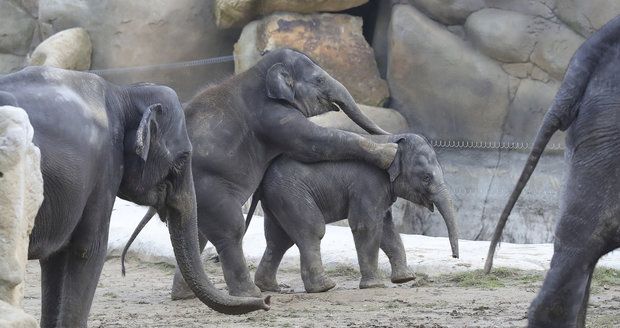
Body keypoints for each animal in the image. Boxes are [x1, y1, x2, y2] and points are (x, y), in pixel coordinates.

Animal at [0, 66, 268, 328]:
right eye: (183, 158)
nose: (266, 301)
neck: (124, 93)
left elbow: (56, 257)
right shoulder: (104, 167)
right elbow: (88, 249)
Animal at [123, 48, 400, 300]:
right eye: (319, 80)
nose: (393, 135)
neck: (257, 71)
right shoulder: (273, 116)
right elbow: (314, 143)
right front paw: (390, 152)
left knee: (198, 235)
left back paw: (186, 296)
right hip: (208, 190)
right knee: (230, 229)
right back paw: (249, 294)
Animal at [247, 133, 460, 292]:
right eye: (426, 177)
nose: (455, 256)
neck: (393, 138)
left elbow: (387, 230)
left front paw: (405, 279)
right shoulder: (368, 184)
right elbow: (366, 226)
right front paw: (374, 286)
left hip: (278, 198)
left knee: (279, 239)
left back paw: (271, 287)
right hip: (291, 193)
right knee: (312, 230)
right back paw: (324, 287)